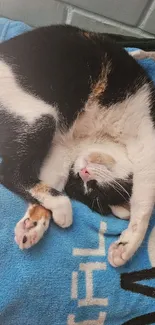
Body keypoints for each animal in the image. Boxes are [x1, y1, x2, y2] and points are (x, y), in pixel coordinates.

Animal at [0, 25, 155, 268]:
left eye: (91, 188)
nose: (83, 173)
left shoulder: (62, 149)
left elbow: (51, 177)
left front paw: (33, 224)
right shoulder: (147, 141)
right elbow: (145, 201)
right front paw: (128, 245)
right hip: (43, 114)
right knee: (8, 172)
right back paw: (62, 204)